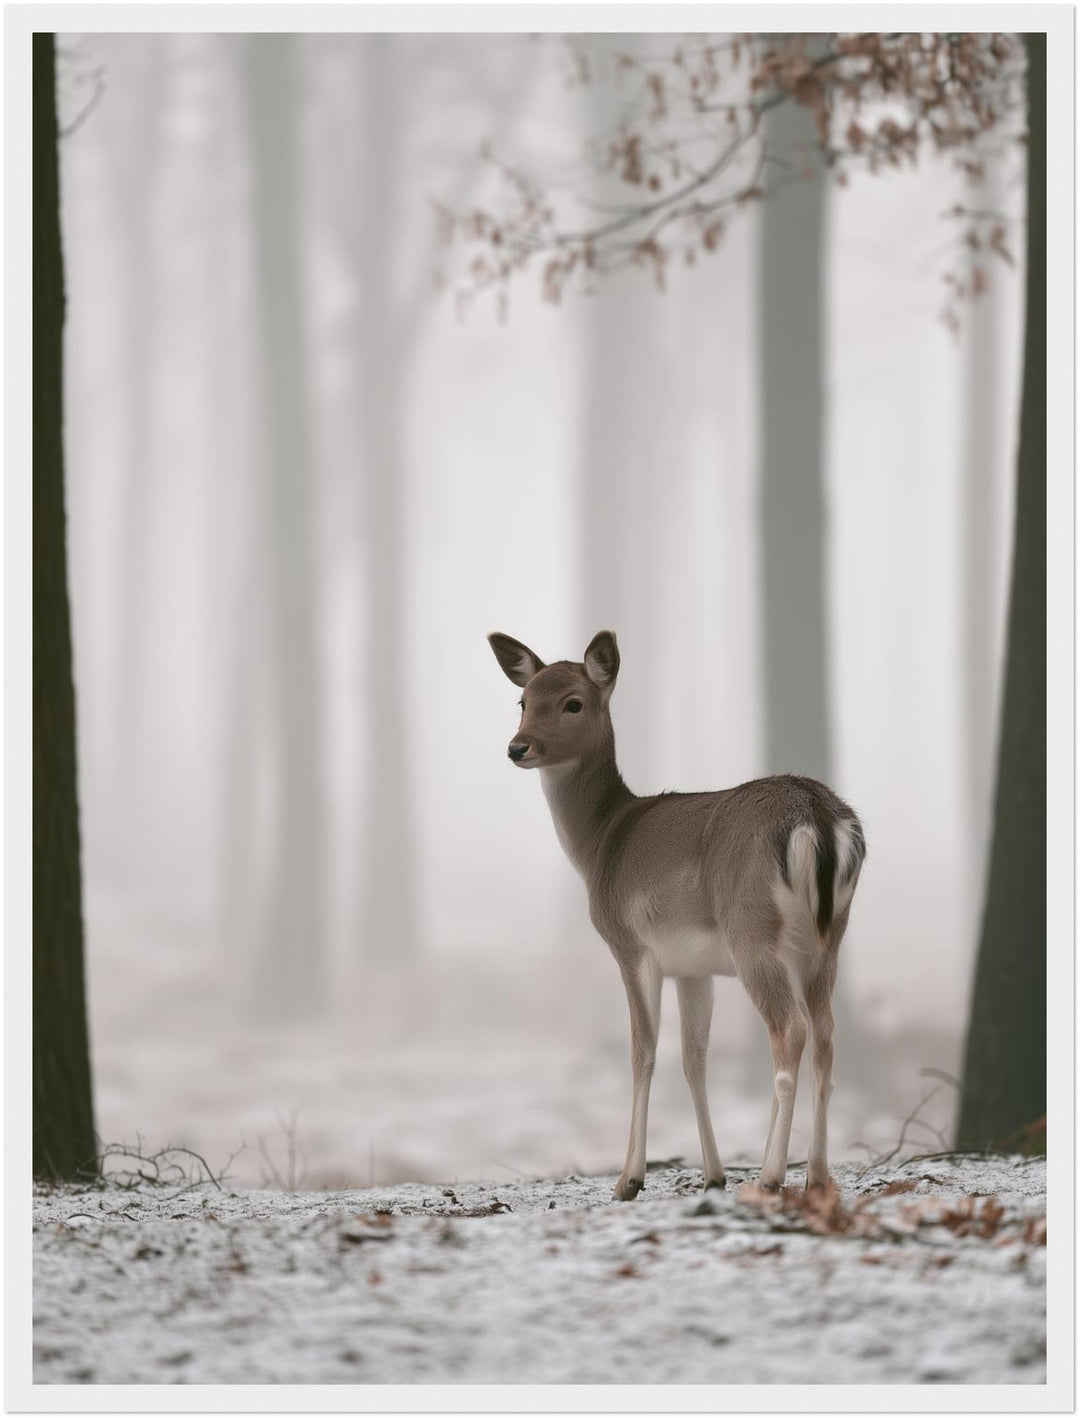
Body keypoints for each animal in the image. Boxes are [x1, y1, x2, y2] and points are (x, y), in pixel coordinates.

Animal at [488, 629, 866, 1202]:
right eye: (523, 700)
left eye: (573, 702)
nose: (518, 747)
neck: (600, 843)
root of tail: (817, 816)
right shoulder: (693, 967)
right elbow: (694, 1058)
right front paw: (713, 1174)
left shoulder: (631, 944)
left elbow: (643, 1052)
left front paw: (628, 1179)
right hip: (829, 937)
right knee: (825, 1036)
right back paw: (818, 1177)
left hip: (753, 931)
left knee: (790, 1032)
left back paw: (772, 1175)